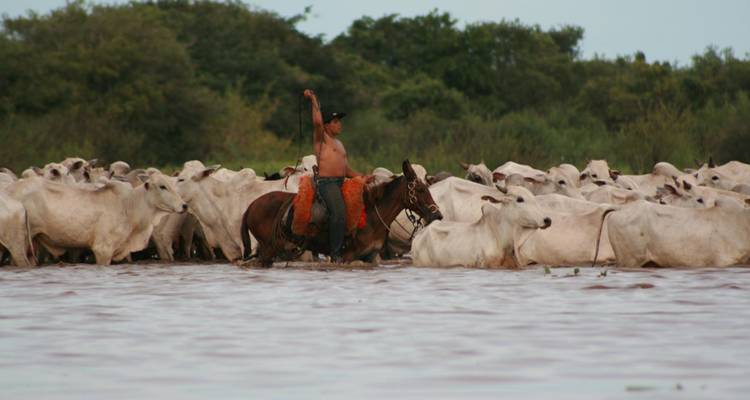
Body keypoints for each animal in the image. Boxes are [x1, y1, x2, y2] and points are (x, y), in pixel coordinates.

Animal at [240, 160, 443, 267]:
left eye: (427, 186)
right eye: (421, 190)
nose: (437, 215)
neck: (372, 217)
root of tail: (251, 206)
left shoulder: (371, 256)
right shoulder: (346, 256)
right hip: (267, 249)